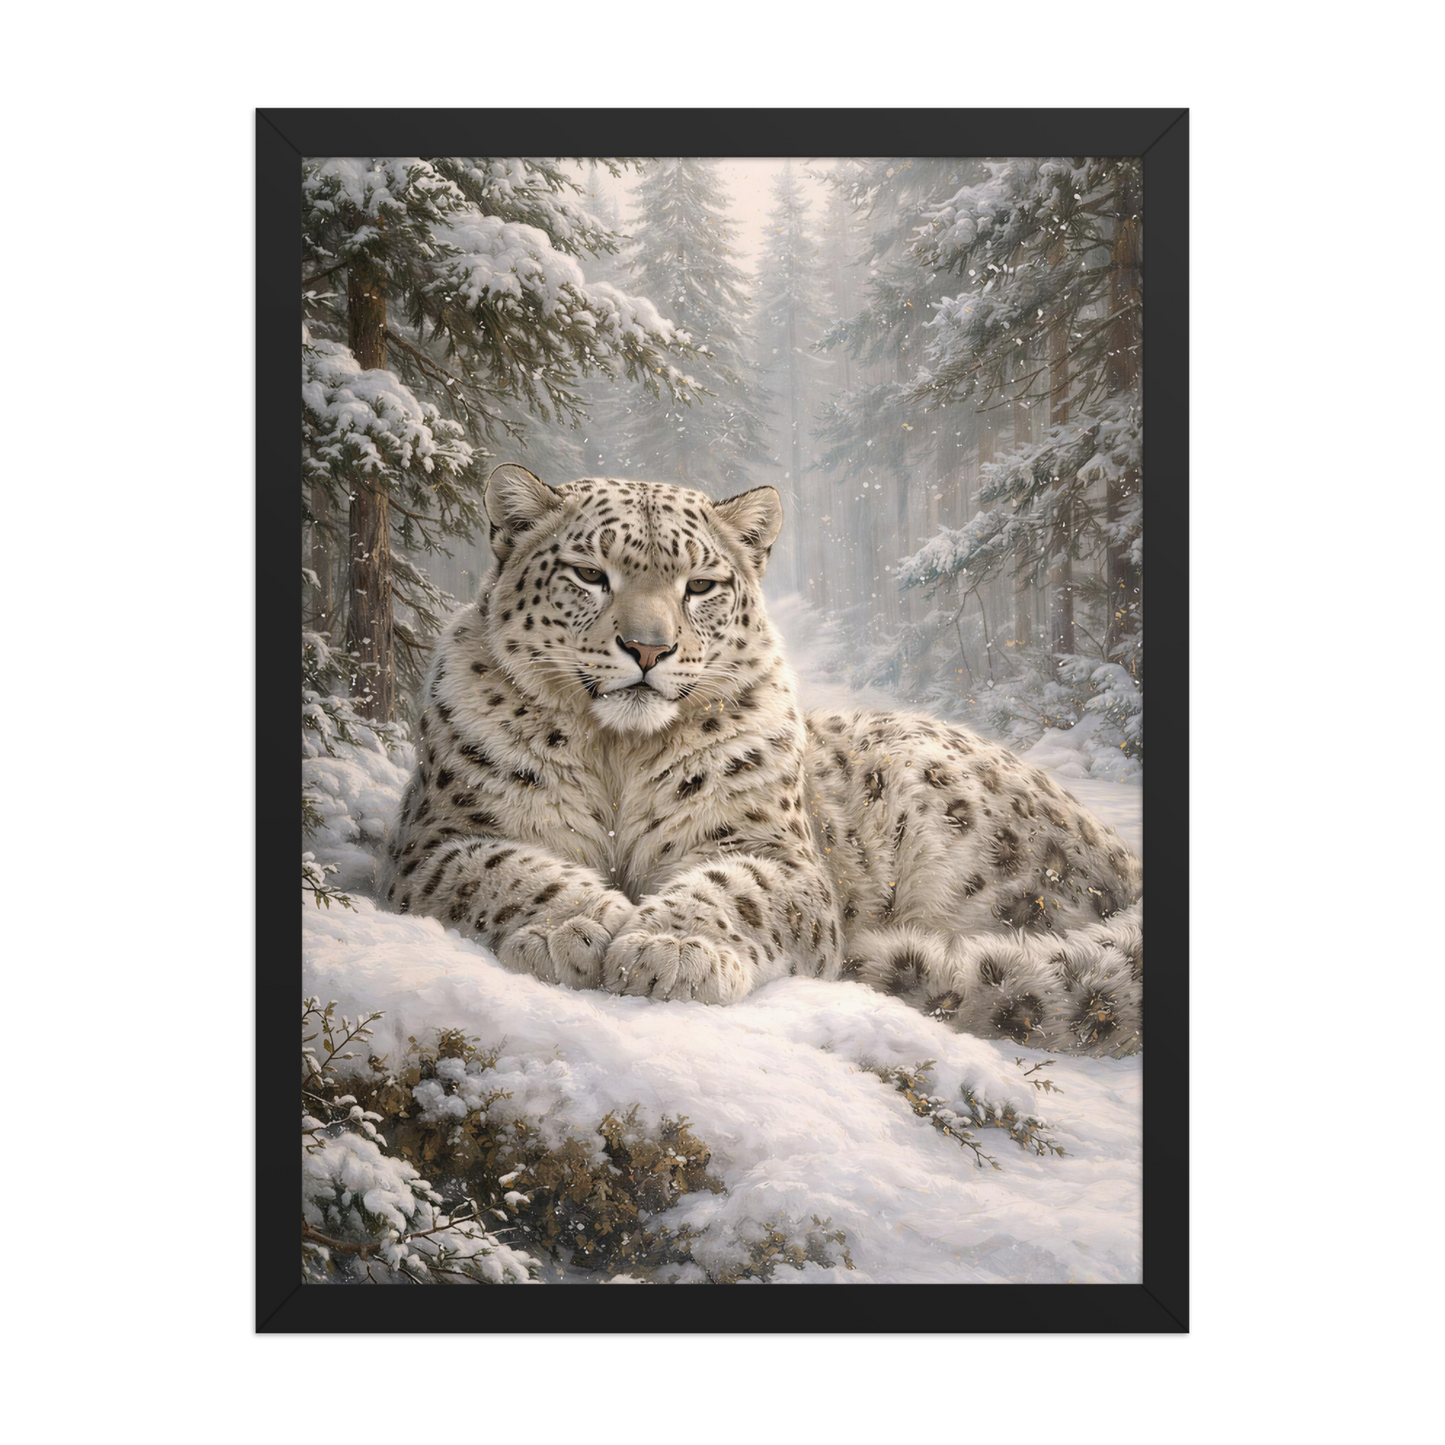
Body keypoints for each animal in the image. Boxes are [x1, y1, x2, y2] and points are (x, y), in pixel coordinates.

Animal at [378, 464, 1143, 1057]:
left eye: (700, 584)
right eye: (590, 573)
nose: (648, 647)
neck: (619, 753)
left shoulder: (774, 852)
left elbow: (732, 889)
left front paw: (669, 949)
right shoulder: (441, 838)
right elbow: (510, 870)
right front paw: (572, 930)